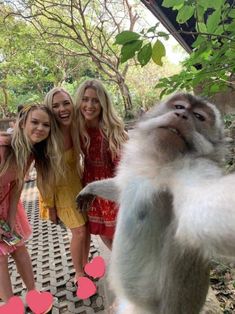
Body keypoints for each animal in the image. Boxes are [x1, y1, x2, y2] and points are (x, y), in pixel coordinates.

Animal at [76, 93, 235, 314]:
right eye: (179, 107)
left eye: (198, 117)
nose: (181, 116)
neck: (159, 163)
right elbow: (121, 188)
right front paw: (89, 189)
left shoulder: (193, 169)